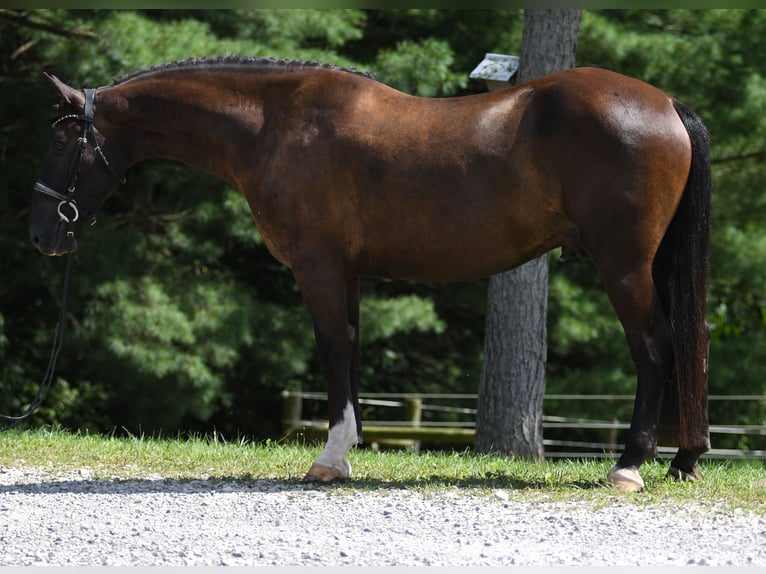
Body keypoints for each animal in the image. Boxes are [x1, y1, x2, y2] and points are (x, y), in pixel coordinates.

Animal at [28, 58, 712, 492]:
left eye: (61, 142)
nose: (40, 236)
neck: (274, 124)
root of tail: (666, 104)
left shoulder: (319, 269)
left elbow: (333, 354)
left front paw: (329, 460)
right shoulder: (348, 275)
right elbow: (351, 356)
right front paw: (344, 455)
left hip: (624, 265)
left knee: (656, 347)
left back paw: (629, 466)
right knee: (685, 345)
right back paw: (683, 460)